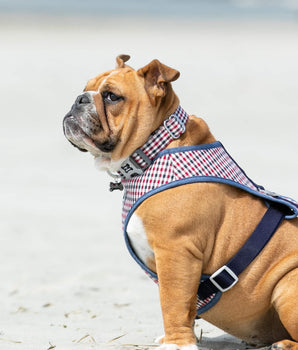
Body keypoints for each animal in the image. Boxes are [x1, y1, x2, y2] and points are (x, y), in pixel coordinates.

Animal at [62, 56, 298, 348]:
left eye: (111, 96)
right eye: (86, 88)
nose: (79, 99)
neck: (153, 149)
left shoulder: (175, 252)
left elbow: (172, 301)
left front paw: (176, 341)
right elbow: (184, 306)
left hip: (288, 286)